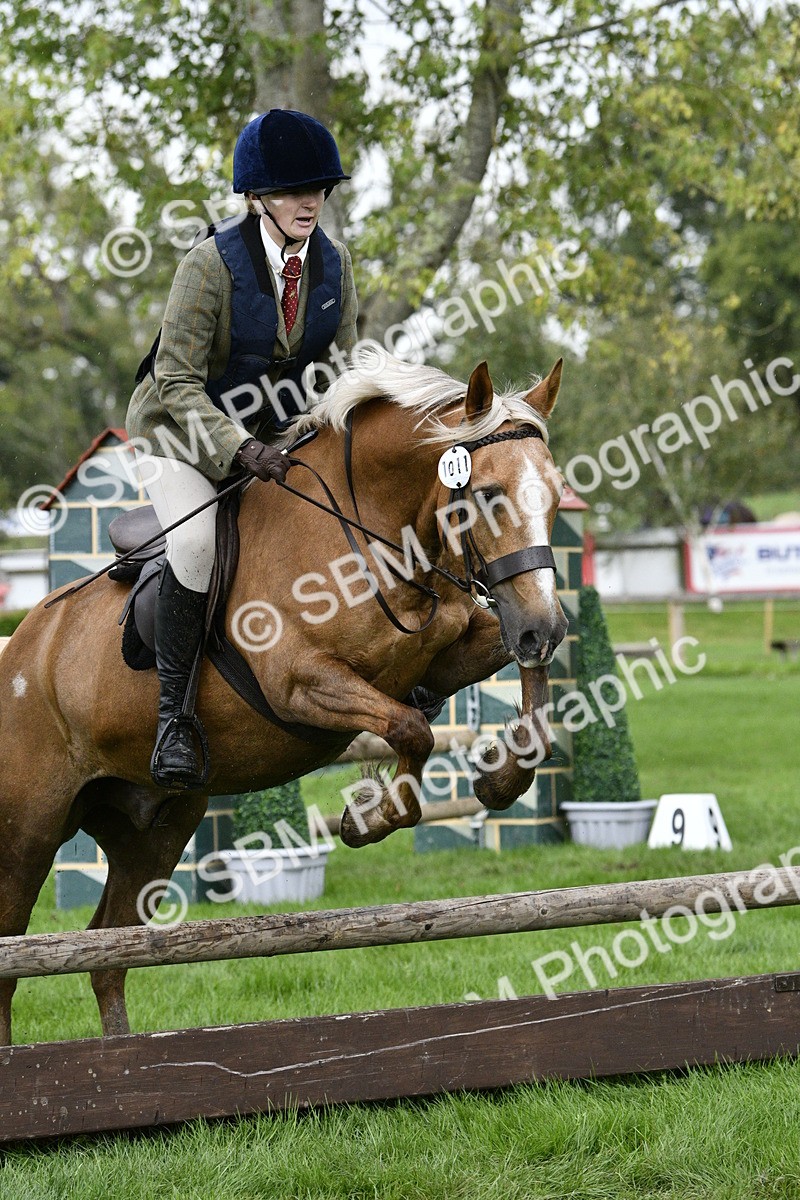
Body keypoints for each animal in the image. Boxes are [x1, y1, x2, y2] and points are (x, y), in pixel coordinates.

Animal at [0, 353, 567, 1043]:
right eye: (486, 494)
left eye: (555, 493)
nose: (546, 626)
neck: (371, 530)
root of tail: (21, 650)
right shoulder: (301, 684)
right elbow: (412, 729)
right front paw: (369, 816)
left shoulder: (453, 649)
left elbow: (520, 694)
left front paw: (500, 780)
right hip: (27, 831)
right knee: (13, 956)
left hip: (153, 827)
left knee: (108, 952)